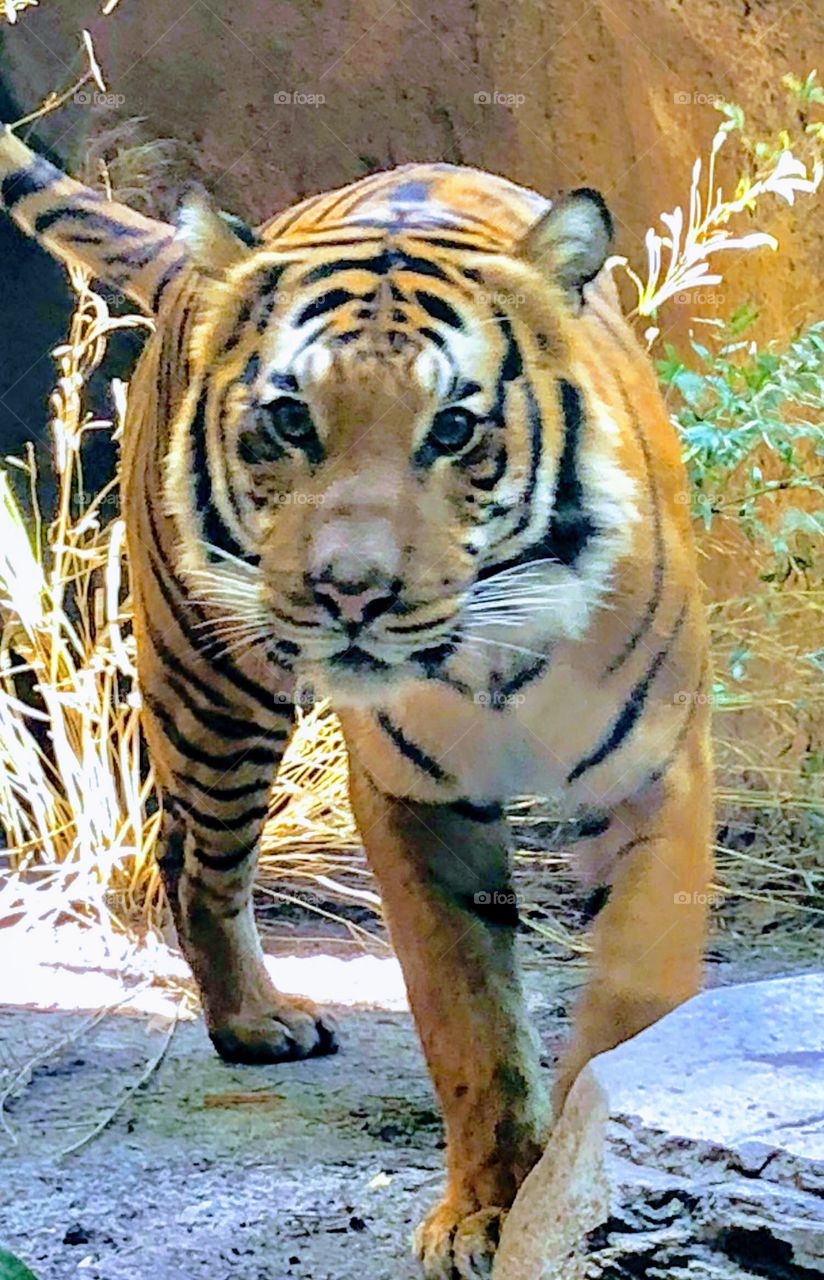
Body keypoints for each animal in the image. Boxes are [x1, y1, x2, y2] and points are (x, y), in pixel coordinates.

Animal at [0, 123, 712, 1279]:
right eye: (291, 421)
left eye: (454, 429)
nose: (350, 591)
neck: (491, 654)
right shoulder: (416, 799)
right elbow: (464, 1012)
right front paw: (486, 1207)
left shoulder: (654, 769)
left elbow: (631, 990)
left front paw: (581, 1166)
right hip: (213, 688)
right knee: (195, 859)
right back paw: (254, 1021)